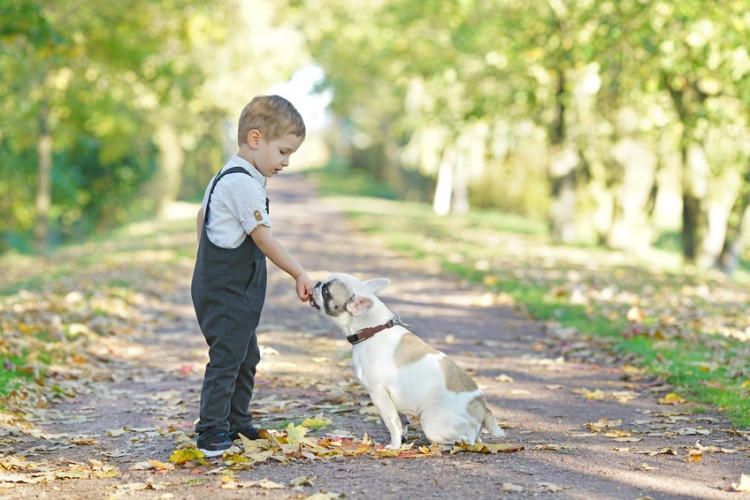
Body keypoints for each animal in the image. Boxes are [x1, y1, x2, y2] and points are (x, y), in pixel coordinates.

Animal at [308, 274, 508, 450]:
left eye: (326, 291)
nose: (316, 283)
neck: (372, 329)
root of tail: (483, 408)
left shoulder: (378, 394)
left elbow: (392, 423)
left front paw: (395, 446)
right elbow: (401, 421)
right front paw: (403, 439)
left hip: (431, 421)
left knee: (466, 440)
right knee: (475, 438)